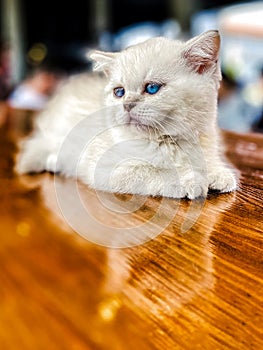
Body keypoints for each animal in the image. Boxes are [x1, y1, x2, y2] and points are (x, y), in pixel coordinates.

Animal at [15, 29, 238, 200]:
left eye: (152, 88)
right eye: (119, 92)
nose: (127, 105)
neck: (169, 140)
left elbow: (207, 161)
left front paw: (217, 173)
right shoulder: (107, 168)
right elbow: (151, 172)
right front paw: (189, 181)